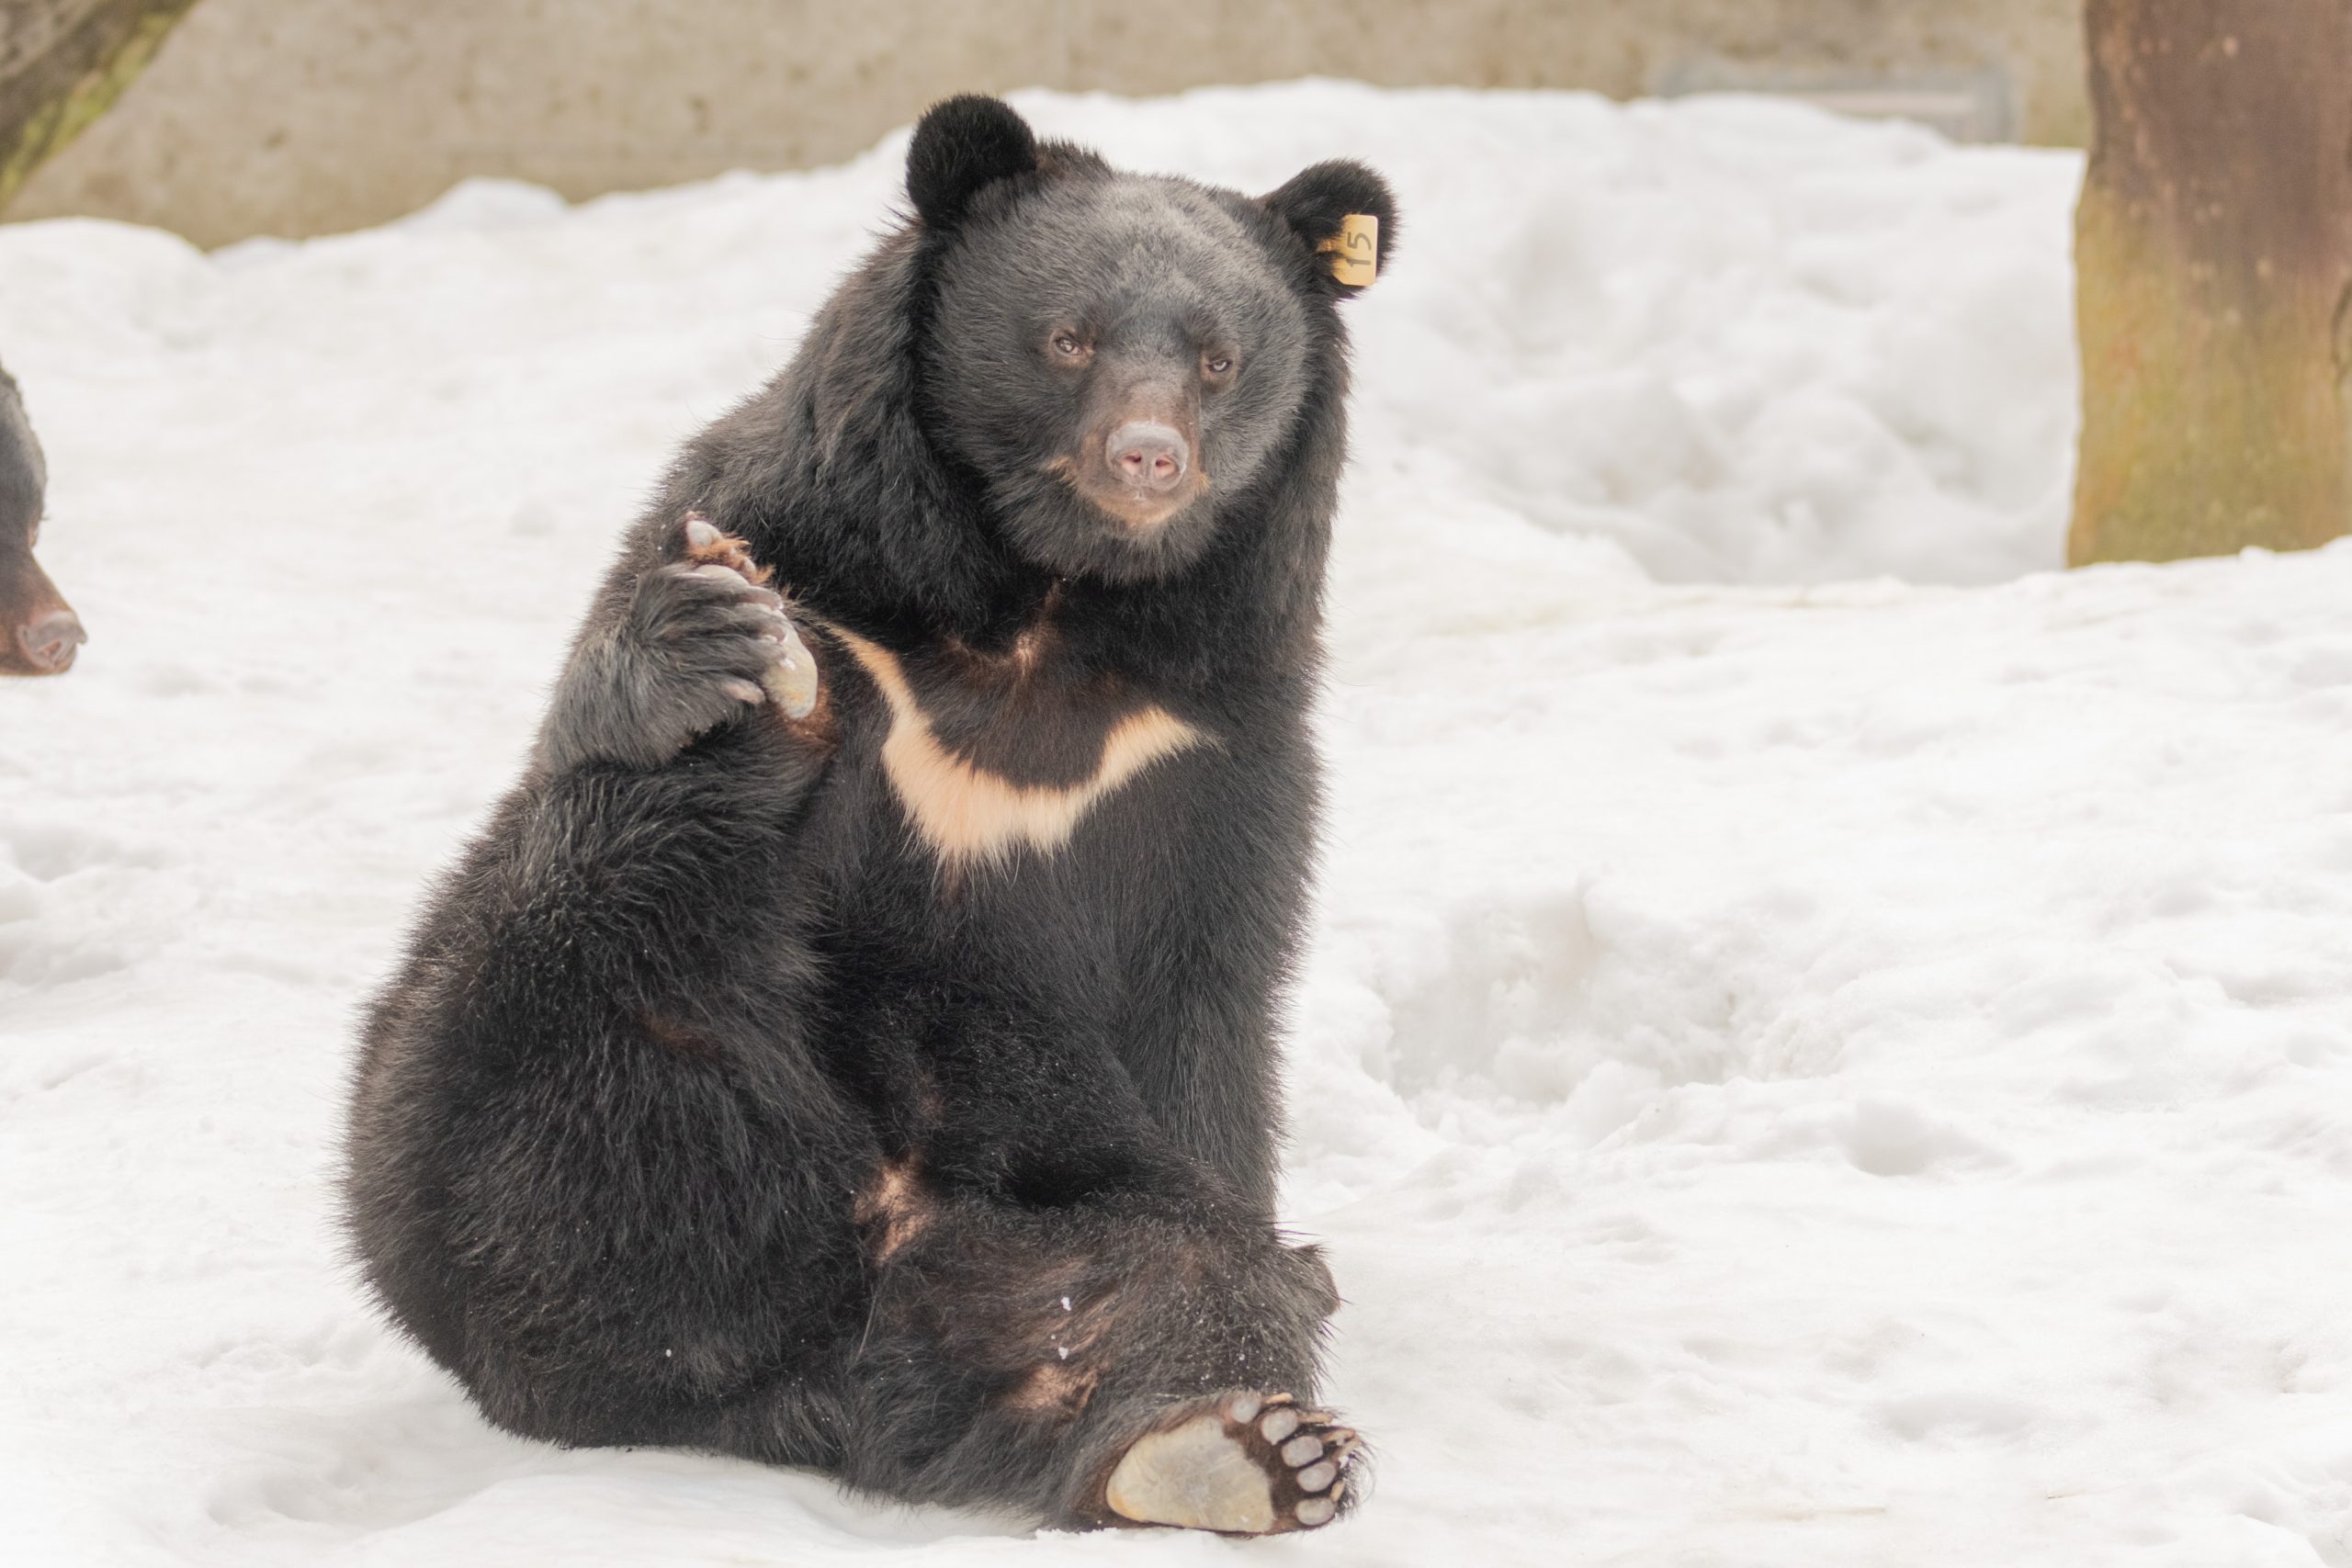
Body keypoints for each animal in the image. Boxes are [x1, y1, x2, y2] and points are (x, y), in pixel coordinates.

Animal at [343, 95, 1392, 1532]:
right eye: (1068, 338)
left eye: (1222, 361)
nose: (1149, 458)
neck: (1044, 605)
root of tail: (822, 1359)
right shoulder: (810, 558)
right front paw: (717, 637)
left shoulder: (1215, 746)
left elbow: (1205, 1003)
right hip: (490, 1124)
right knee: (564, 945)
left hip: (1063, 1240)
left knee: (1188, 1276)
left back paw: (1235, 1444)